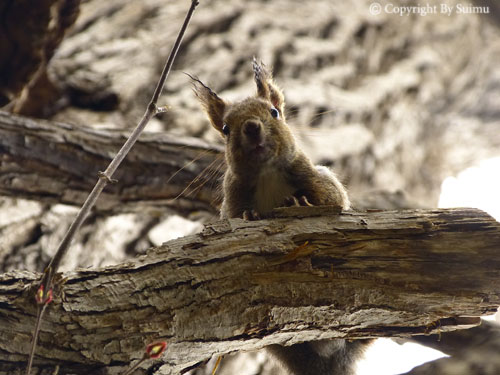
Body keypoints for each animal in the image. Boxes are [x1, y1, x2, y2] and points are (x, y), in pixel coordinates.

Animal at [189, 57, 370, 374]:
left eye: (274, 112)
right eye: (225, 128)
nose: (251, 127)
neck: (267, 173)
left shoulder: (320, 180)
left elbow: (331, 199)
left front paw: (300, 202)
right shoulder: (231, 203)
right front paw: (250, 215)